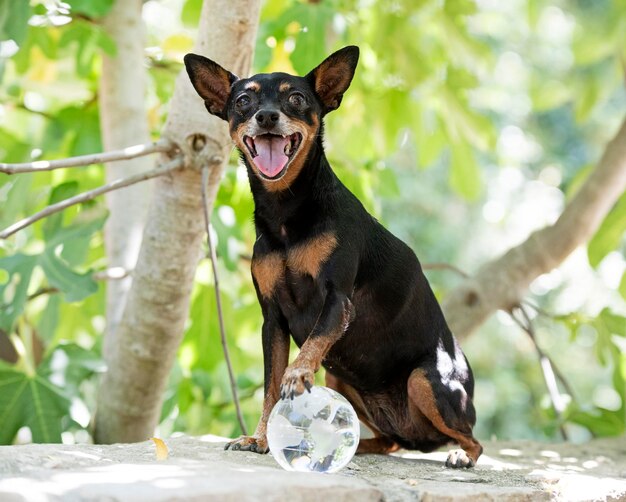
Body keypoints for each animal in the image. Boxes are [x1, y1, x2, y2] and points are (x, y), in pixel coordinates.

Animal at [185, 45, 482, 468]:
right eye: (242, 102)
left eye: (297, 99)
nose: (266, 116)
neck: (286, 215)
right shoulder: (272, 318)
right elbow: (270, 385)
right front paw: (258, 438)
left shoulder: (338, 301)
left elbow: (304, 353)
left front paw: (295, 376)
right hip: (340, 378)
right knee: (390, 441)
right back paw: (358, 446)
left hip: (426, 380)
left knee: (472, 438)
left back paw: (460, 454)